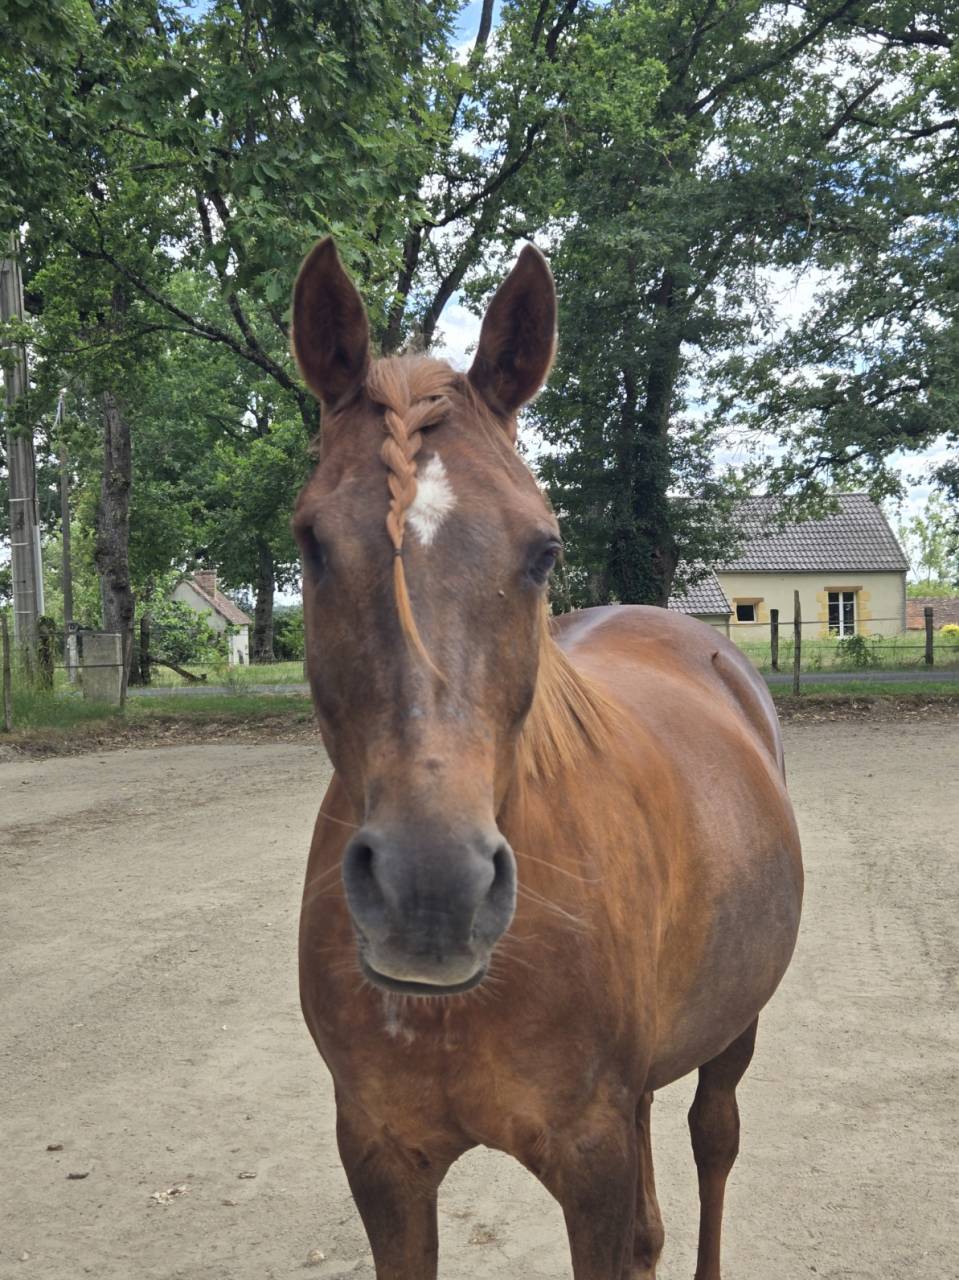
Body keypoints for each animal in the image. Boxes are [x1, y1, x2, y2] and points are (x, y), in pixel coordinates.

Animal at [291, 237, 803, 1280]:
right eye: (311, 542)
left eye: (541, 549)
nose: (431, 893)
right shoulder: (381, 1160)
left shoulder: (590, 1160)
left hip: (733, 1029)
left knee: (714, 1140)